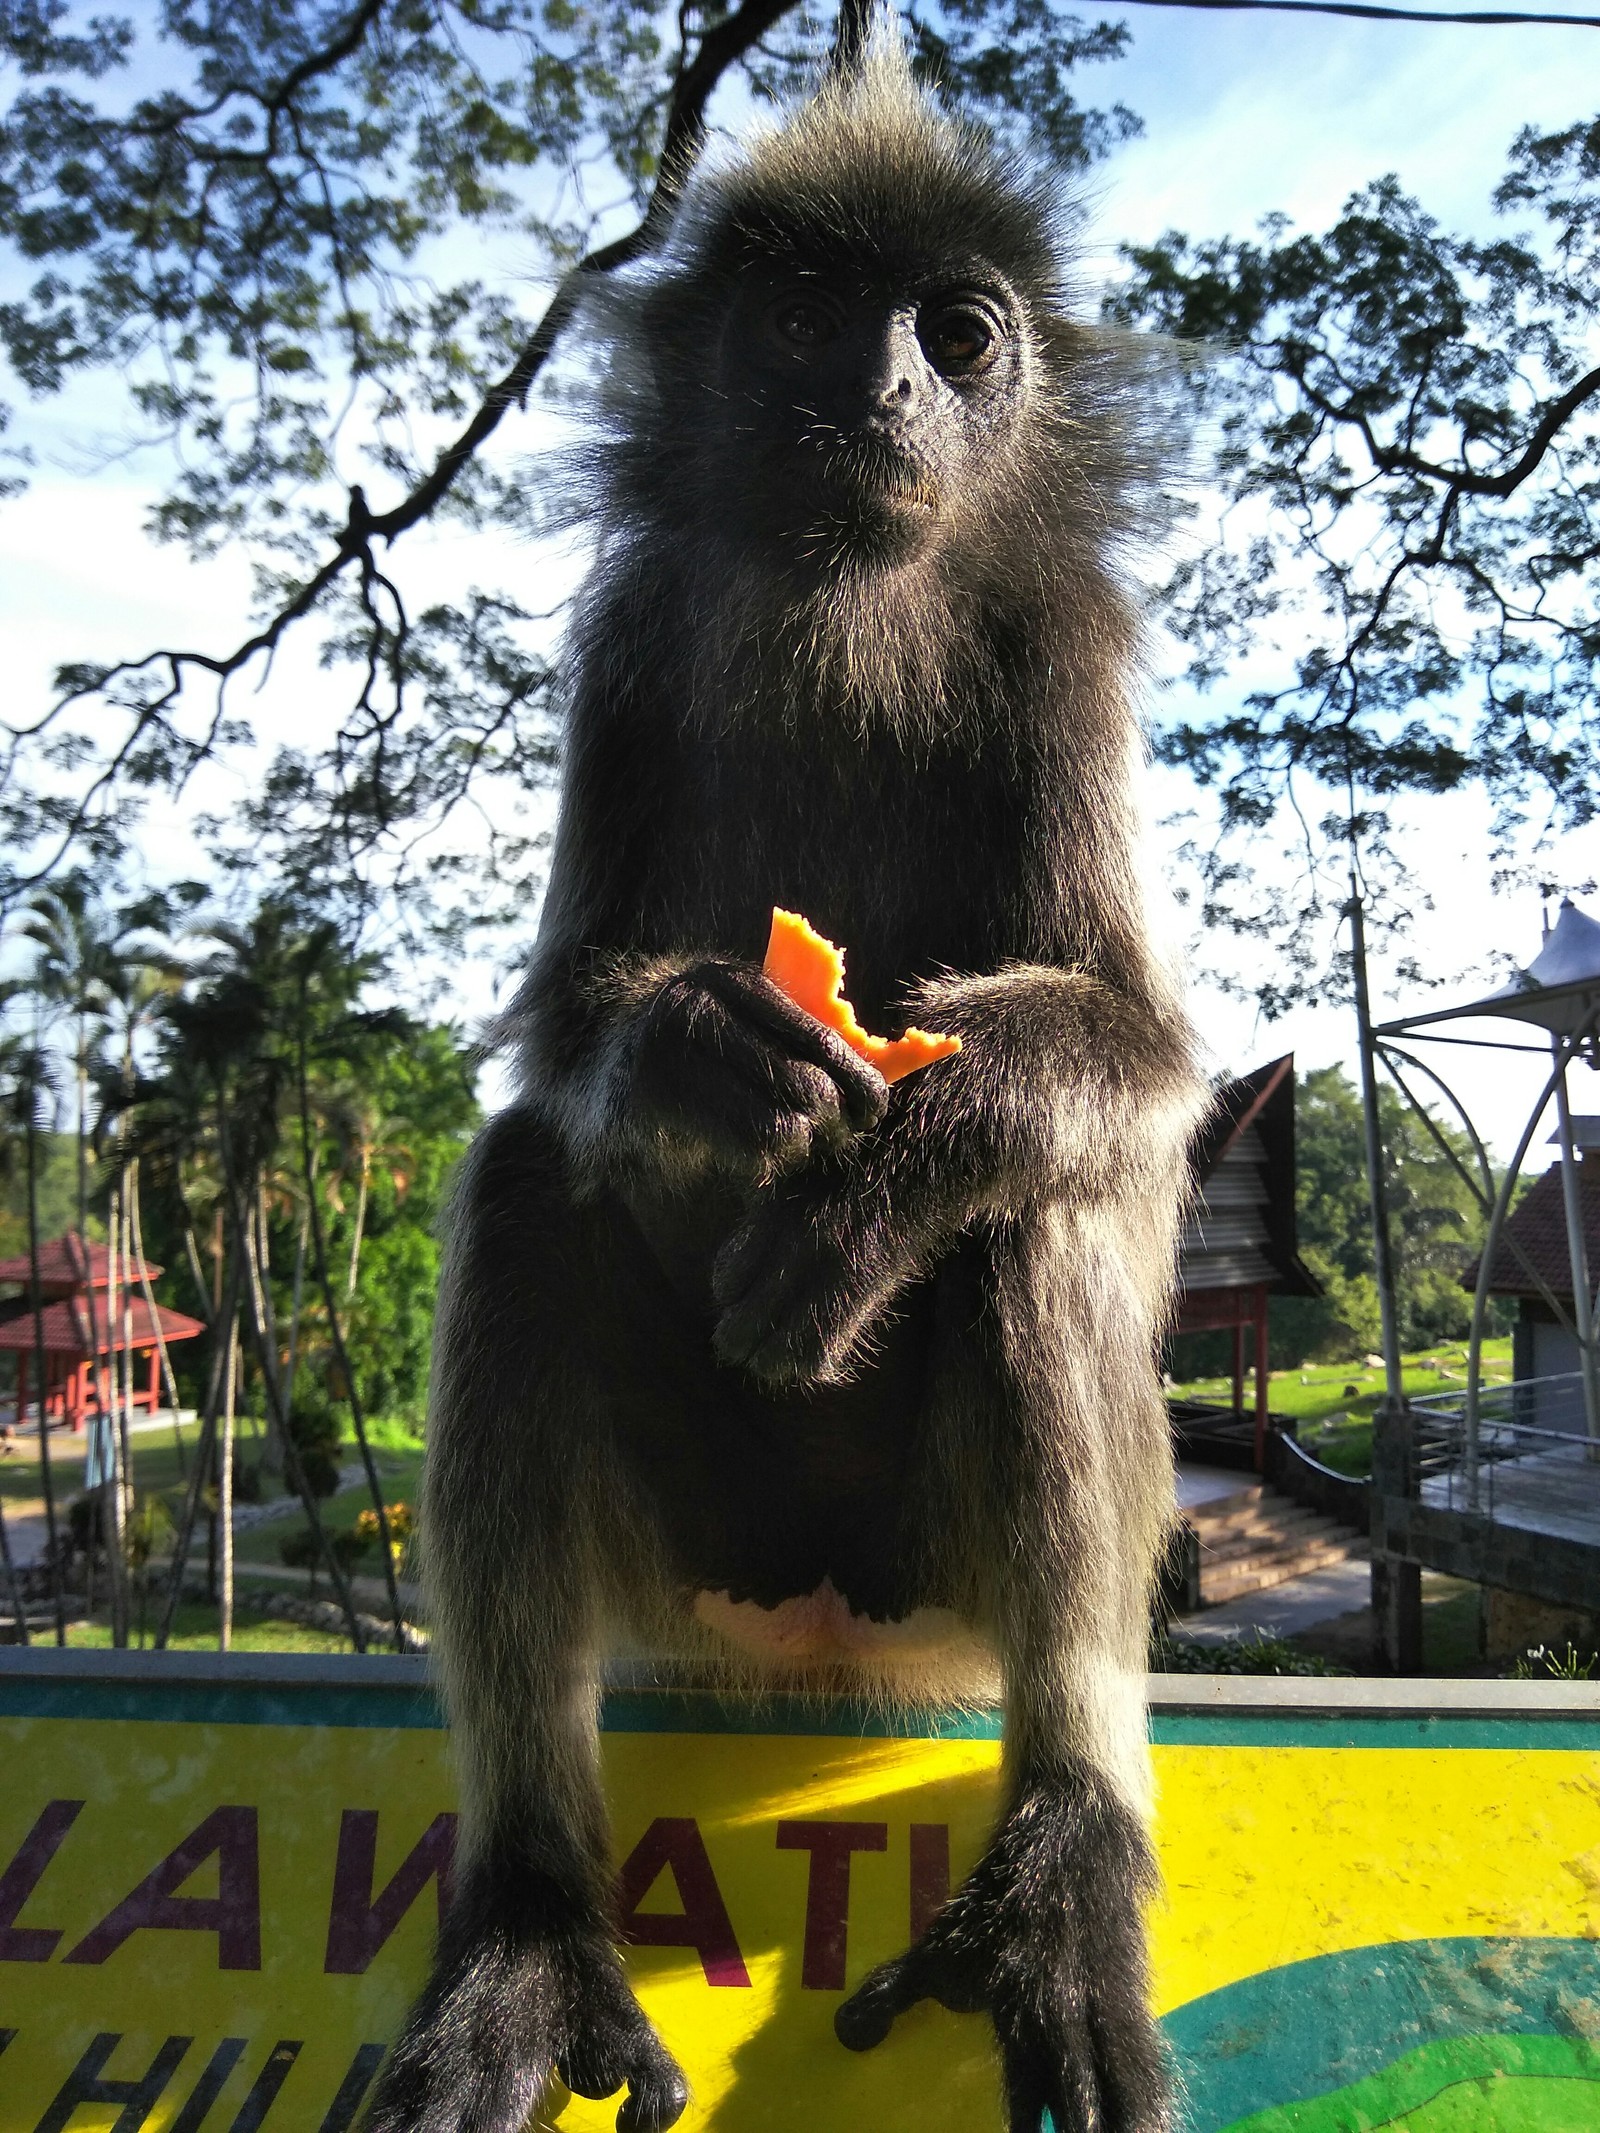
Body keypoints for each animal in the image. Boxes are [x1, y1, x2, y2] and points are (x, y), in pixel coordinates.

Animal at [366, 29, 1203, 2133]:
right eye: (813, 319)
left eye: (960, 334)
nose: (891, 388)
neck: (855, 582)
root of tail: (823, 1619)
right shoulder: (630, 639)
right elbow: (566, 1027)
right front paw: (706, 1045)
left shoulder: (1071, 645)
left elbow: (1136, 1066)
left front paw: (876, 1184)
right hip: (699, 1549)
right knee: (527, 1182)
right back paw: (527, 1919)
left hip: (931, 1566)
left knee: (1043, 1213)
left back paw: (1070, 1862)